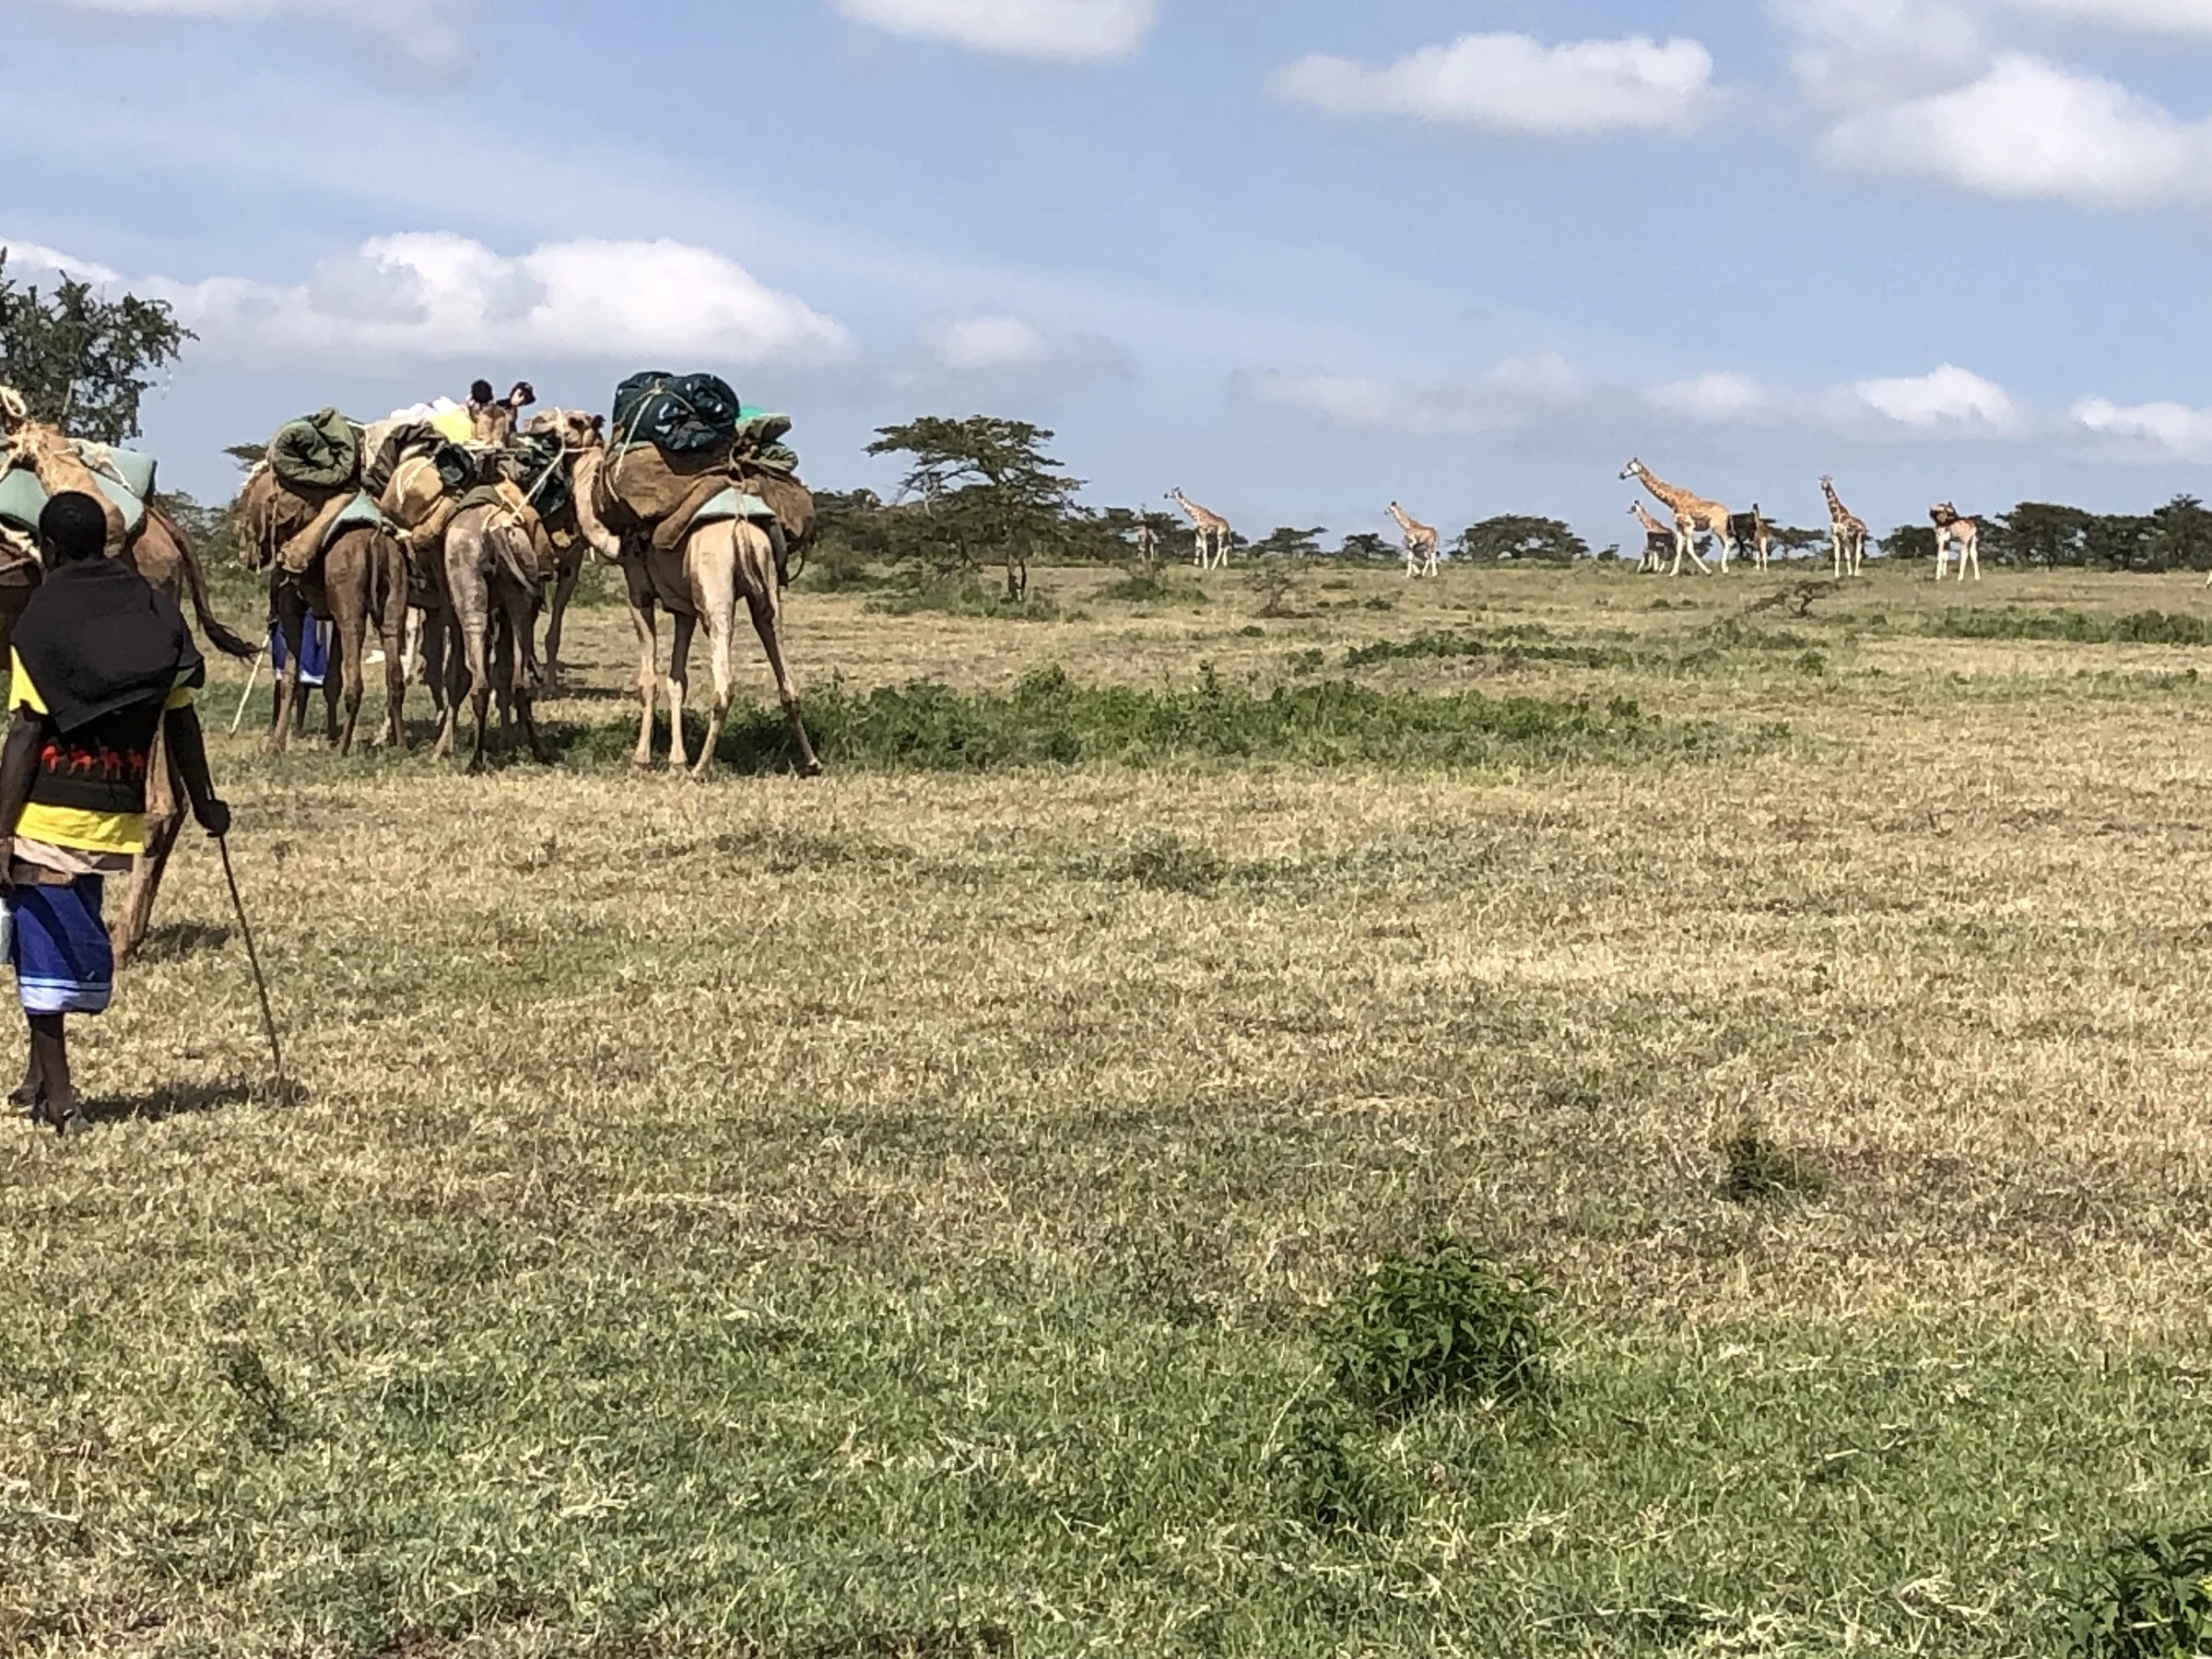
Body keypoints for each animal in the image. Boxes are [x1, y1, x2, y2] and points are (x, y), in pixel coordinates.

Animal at [571, 447, 820, 779]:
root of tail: (742, 524)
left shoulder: (638, 593)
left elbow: (649, 680)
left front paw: (642, 760)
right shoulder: (683, 609)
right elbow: (678, 680)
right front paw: (676, 761)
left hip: (714, 586)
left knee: (724, 680)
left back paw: (701, 767)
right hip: (767, 586)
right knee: (783, 667)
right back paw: (812, 762)